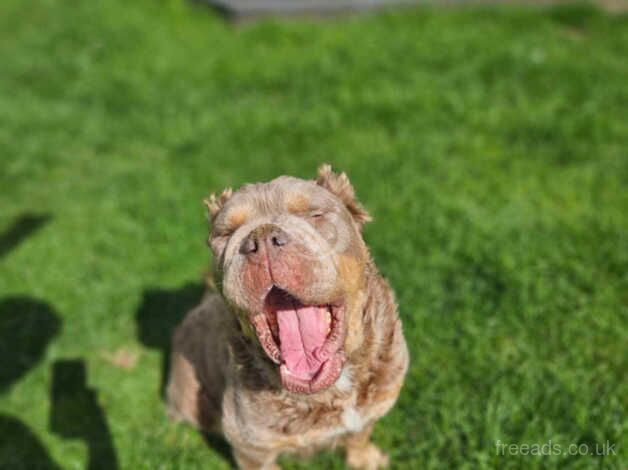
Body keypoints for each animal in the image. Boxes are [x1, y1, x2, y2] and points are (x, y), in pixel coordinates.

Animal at [166, 163, 408, 468]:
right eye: (226, 233)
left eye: (315, 215)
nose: (261, 238)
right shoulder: (251, 446)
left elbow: (359, 434)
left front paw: (366, 459)